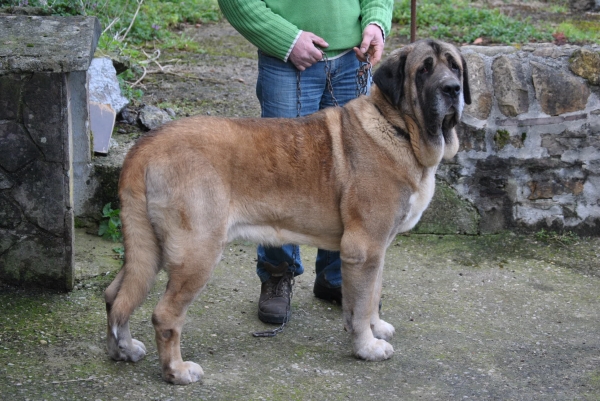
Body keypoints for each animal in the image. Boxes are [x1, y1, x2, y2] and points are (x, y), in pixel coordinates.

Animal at [104, 39, 468, 382]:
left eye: (455, 66)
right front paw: (367, 346)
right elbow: (362, 305)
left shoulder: (377, 249)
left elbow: (373, 292)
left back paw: (123, 349)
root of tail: (146, 144)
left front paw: (376, 328)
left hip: (149, 248)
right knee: (164, 315)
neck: (399, 128)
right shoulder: (364, 248)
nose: (453, 89)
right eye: (424, 69)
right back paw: (176, 371)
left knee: (115, 295)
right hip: (196, 253)